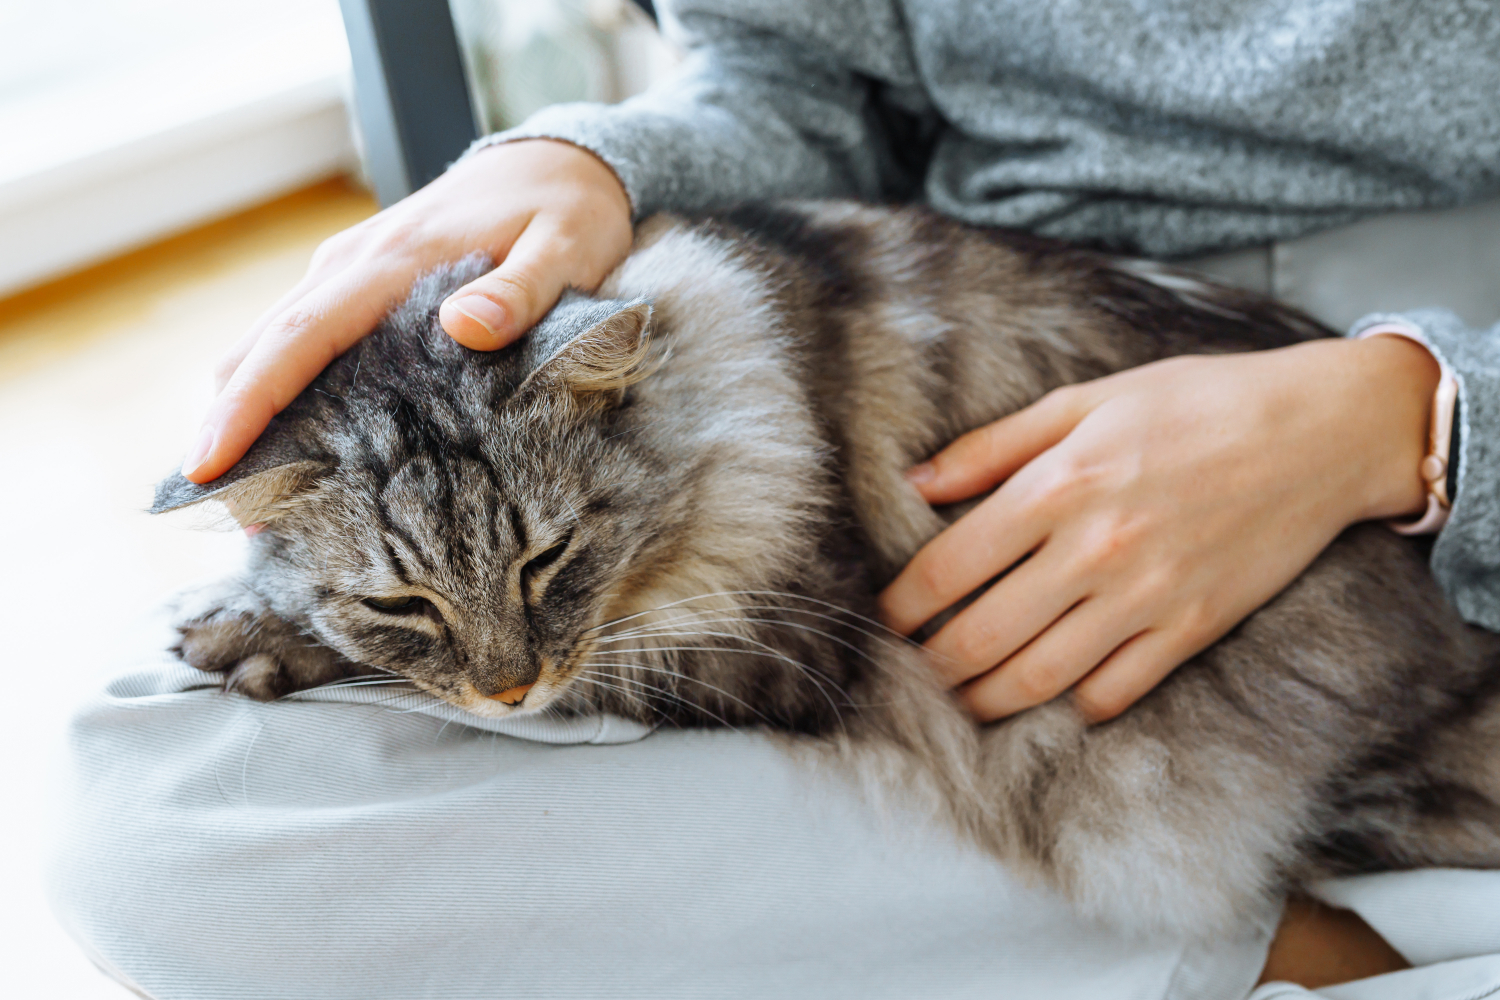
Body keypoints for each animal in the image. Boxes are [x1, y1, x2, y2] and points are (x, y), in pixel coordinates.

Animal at [152, 203, 1500, 941]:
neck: (739, 386)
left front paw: (242, 630)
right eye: (404, 600)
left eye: (549, 558)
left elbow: (622, 662)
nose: (508, 692)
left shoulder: (790, 636)